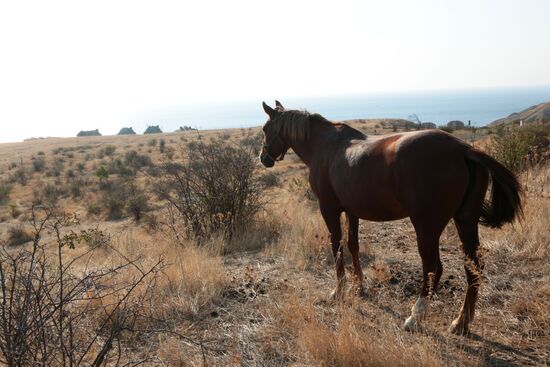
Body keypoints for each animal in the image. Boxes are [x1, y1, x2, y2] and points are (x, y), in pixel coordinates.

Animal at [260, 100, 524, 336]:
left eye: (265, 129)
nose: (263, 158)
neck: (324, 146)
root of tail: (463, 149)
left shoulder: (329, 209)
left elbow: (337, 247)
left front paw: (339, 291)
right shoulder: (352, 211)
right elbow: (353, 245)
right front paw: (360, 286)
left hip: (427, 227)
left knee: (433, 267)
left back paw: (415, 317)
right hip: (465, 221)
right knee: (474, 268)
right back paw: (461, 322)